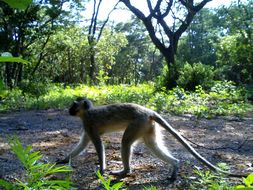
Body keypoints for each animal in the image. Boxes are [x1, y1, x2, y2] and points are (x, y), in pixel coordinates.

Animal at [58, 97, 250, 179]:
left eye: (73, 105)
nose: (68, 110)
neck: (86, 113)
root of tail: (148, 111)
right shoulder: (87, 126)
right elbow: (83, 143)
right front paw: (65, 159)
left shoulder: (89, 124)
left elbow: (97, 145)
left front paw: (102, 168)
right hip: (147, 126)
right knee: (152, 144)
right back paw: (175, 165)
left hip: (138, 122)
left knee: (125, 142)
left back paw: (125, 171)